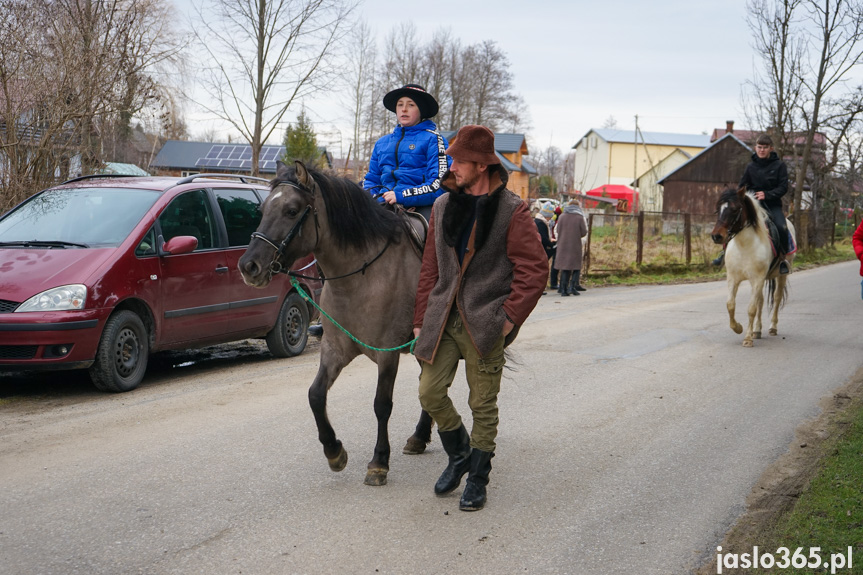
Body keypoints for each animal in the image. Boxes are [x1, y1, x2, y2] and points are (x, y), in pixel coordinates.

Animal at [240, 161, 432, 486]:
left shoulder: (388, 353)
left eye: (292, 210)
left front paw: (379, 462)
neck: (361, 276)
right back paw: (420, 437)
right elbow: (315, 395)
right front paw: (334, 452)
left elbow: (382, 404)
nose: (248, 266)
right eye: (263, 209)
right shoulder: (334, 349)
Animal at [712, 188, 800, 346]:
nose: (716, 236)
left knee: (777, 297)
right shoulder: (733, 279)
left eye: (735, 209)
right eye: (718, 209)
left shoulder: (757, 279)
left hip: (781, 275)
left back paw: (772, 328)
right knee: (761, 300)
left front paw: (747, 338)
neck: (744, 246)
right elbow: (730, 305)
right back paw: (757, 331)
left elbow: (751, 308)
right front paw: (738, 328)